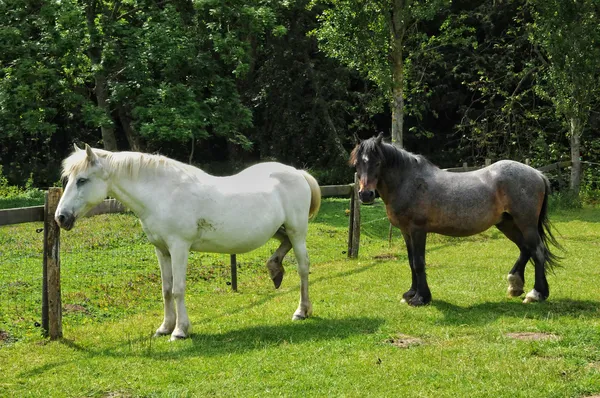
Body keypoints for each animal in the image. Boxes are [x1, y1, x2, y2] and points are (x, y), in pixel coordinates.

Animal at [54, 145, 322, 340]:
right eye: (68, 178)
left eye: (82, 180)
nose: (60, 217)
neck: (161, 194)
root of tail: (298, 173)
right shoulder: (161, 250)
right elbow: (165, 289)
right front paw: (164, 327)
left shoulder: (179, 248)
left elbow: (178, 289)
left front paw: (180, 330)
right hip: (281, 230)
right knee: (284, 246)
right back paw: (275, 269)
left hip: (298, 232)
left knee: (303, 268)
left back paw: (301, 311)